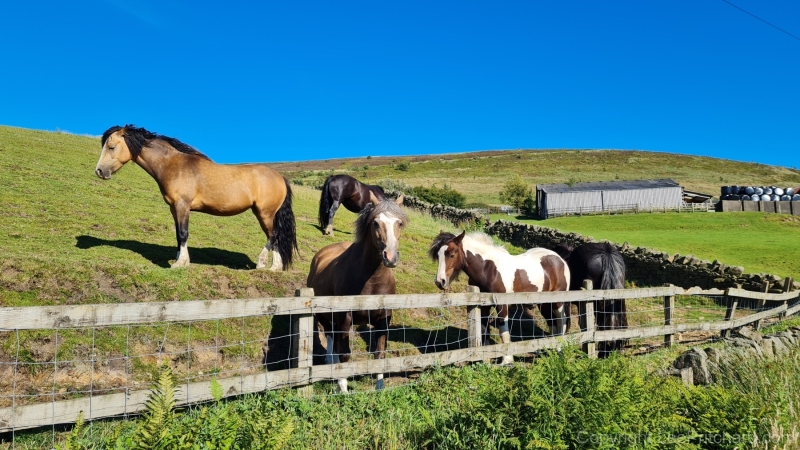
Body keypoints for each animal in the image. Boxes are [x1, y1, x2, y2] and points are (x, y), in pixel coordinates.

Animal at [96, 125, 296, 268]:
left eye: (111, 147)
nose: (99, 171)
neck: (174, 165)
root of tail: (280, 178)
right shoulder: (174, 208)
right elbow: (178, 234)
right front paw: (180, 259)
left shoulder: (182, 205)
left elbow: (183, 233)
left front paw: (180, 263)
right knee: (276, 237)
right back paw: (275, 267)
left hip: (264, 213)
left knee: (273, 236)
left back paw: (262, 263)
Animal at [306, 192, 406, 392]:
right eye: (376, 223)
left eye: (399, 223)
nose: (390, 257)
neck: (371, 280)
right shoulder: (345, 318)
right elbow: (345, 354)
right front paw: (343, 389)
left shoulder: (384, 320)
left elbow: (380, 354)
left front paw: (379, 387)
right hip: (324, 315)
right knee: (330, 336)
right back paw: (331, 364)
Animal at [428, 230, 572, 364]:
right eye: (438, 255)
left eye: (452, 254)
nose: (440, 282)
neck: (489, 270)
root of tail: (560, 259)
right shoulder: (483, 307)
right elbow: (484, 330)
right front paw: (485, 359)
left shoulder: (502, 306)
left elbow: (504, 332)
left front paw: (507, 360)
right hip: (544, 303)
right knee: (552, 323)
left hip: (558, 302)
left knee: (561, 321)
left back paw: (559, 348)